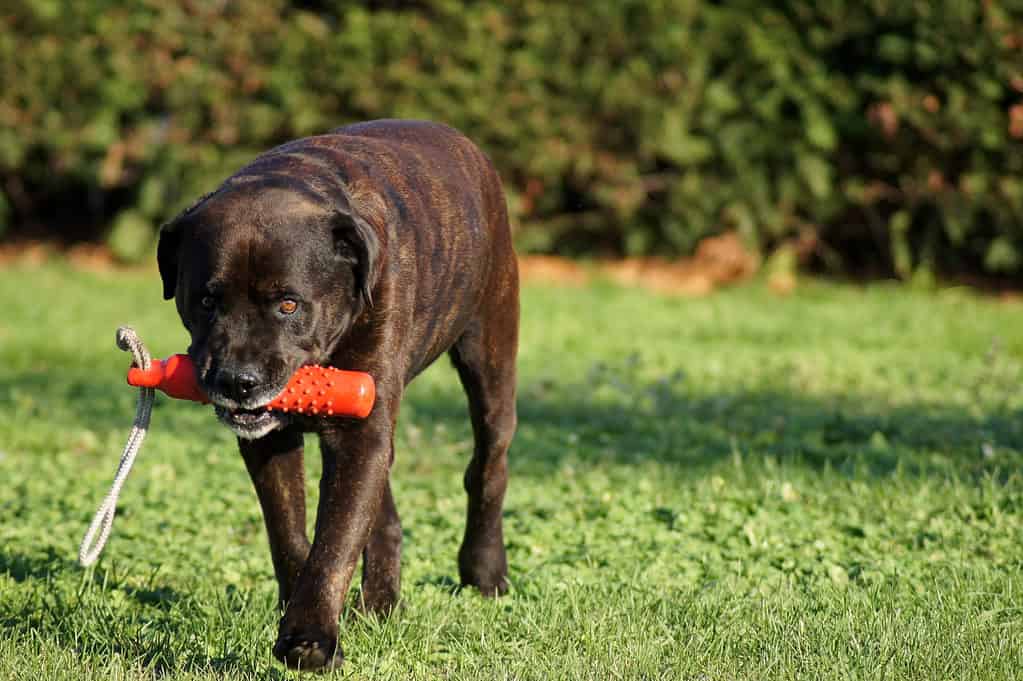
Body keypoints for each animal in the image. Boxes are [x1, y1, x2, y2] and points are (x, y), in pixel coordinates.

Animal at [158, 119, 519, 666]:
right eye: (205, 300)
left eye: (289, 304)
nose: (237, 380)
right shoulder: (275, 441)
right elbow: (292, 531)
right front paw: (301, 613)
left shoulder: (360, 430)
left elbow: (336, 541)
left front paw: (309, 639)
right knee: (384, 513)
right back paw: (380, 605)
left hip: (490, 358)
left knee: (488, 467)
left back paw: (484, 570)